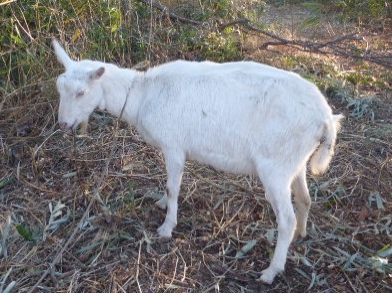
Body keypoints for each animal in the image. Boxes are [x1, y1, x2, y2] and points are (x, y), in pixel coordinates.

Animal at [52, 39, 344, 282]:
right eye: (59, 88)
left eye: (81, 92)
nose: (63, 124)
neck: (142, 94)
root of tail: (326, 119)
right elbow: (169, 187)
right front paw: (160, 203)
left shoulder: (173, 146)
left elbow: (173, 187)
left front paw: (167, 227)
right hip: (294, 161)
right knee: (304, 199)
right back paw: (301, 235)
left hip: (274, 166)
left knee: (286, 219)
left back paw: (271, 271)